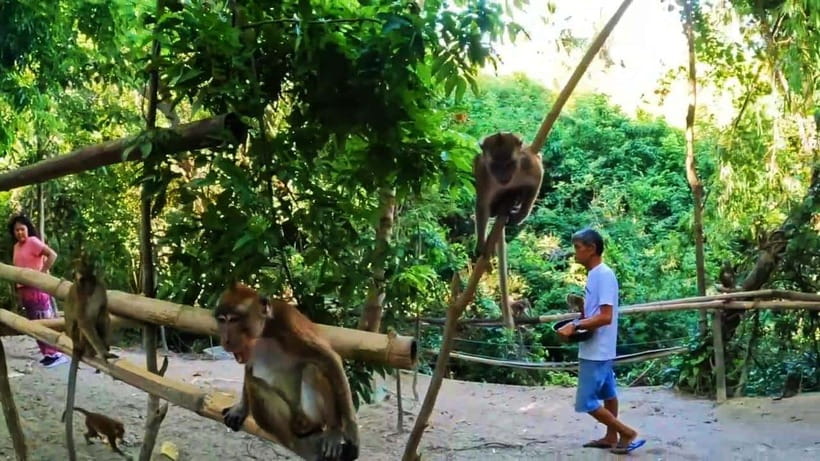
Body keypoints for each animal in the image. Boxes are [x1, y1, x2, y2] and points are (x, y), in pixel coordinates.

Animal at [62, 255, 119, 461]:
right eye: (75, 270)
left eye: (81, 267)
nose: (75, 276)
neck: (88, 287)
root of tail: (75, 345)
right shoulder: (80, 294)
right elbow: (84, 321)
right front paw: (104, 353)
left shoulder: (99, 286)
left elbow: (104, 309)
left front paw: (106, 348)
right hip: (78, 339)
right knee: (81, 324)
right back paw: (91, 351)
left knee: (102, 314)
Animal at [215, 283, 359, 461]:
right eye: (222, 321)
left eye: (234, 320)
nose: (225, 339)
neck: (266, 331)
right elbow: (249, 368)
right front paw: (240, 409)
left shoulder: (288, 322)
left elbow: (330, 360)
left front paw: (342, 432)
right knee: (254, 382)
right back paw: (293, 440)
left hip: (311, 415)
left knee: (314, 368)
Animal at [473, 132, 543, 329]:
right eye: (496, 166)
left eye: (509, 164)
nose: (503, 176)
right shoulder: (483, 172)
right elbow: (482, 205)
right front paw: (481, 244)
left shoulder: (526, 162)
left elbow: (538, 175)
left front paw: (522, 214)